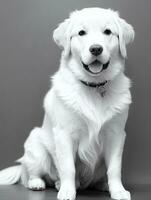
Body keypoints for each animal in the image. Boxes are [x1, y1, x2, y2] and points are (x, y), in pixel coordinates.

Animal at [0, 7, 134, 200]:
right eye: (81, 33)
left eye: (108, 32)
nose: (96, 49)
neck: (94, 87)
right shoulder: (65, 134)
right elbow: (68, 168)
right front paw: (67, 191)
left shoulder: (116, 134)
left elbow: (115, 168)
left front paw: (118, 191)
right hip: (36, 145)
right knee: (31, 174)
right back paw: (40, 183)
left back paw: (102, 185)